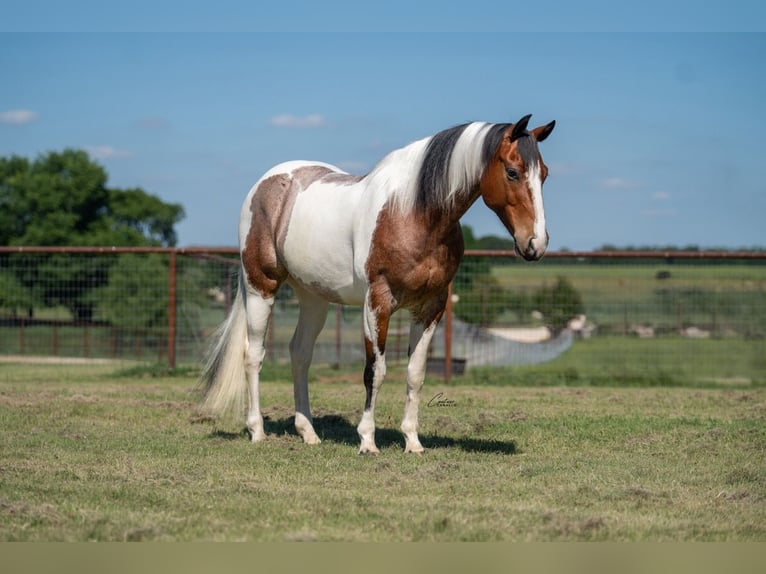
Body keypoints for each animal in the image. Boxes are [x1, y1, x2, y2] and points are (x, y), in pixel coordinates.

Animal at [199, 114, 556, 454]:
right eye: (512, 172)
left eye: (544, 174)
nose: (535, 244)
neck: (413, 213)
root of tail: (266, 184)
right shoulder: (377, 303)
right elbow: (376, 371)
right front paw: (367, 441)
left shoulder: (431, 308)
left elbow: (415, 373)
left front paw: (412, 441)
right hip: (261, 286)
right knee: (253, 355)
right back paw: (257, 431)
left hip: (313, 296)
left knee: (300, 354)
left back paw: (309, 433)